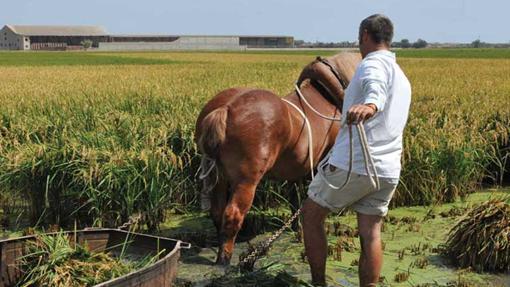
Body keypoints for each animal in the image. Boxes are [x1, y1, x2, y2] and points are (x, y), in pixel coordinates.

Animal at [193, 52, 360, 266]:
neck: (325, 98)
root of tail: (225, 108)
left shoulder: (296, 171)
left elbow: (294, 199)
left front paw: (297, 227)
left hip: (219, 177)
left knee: (217, 212)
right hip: (246, 180)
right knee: (232, 214)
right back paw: (225, 259)